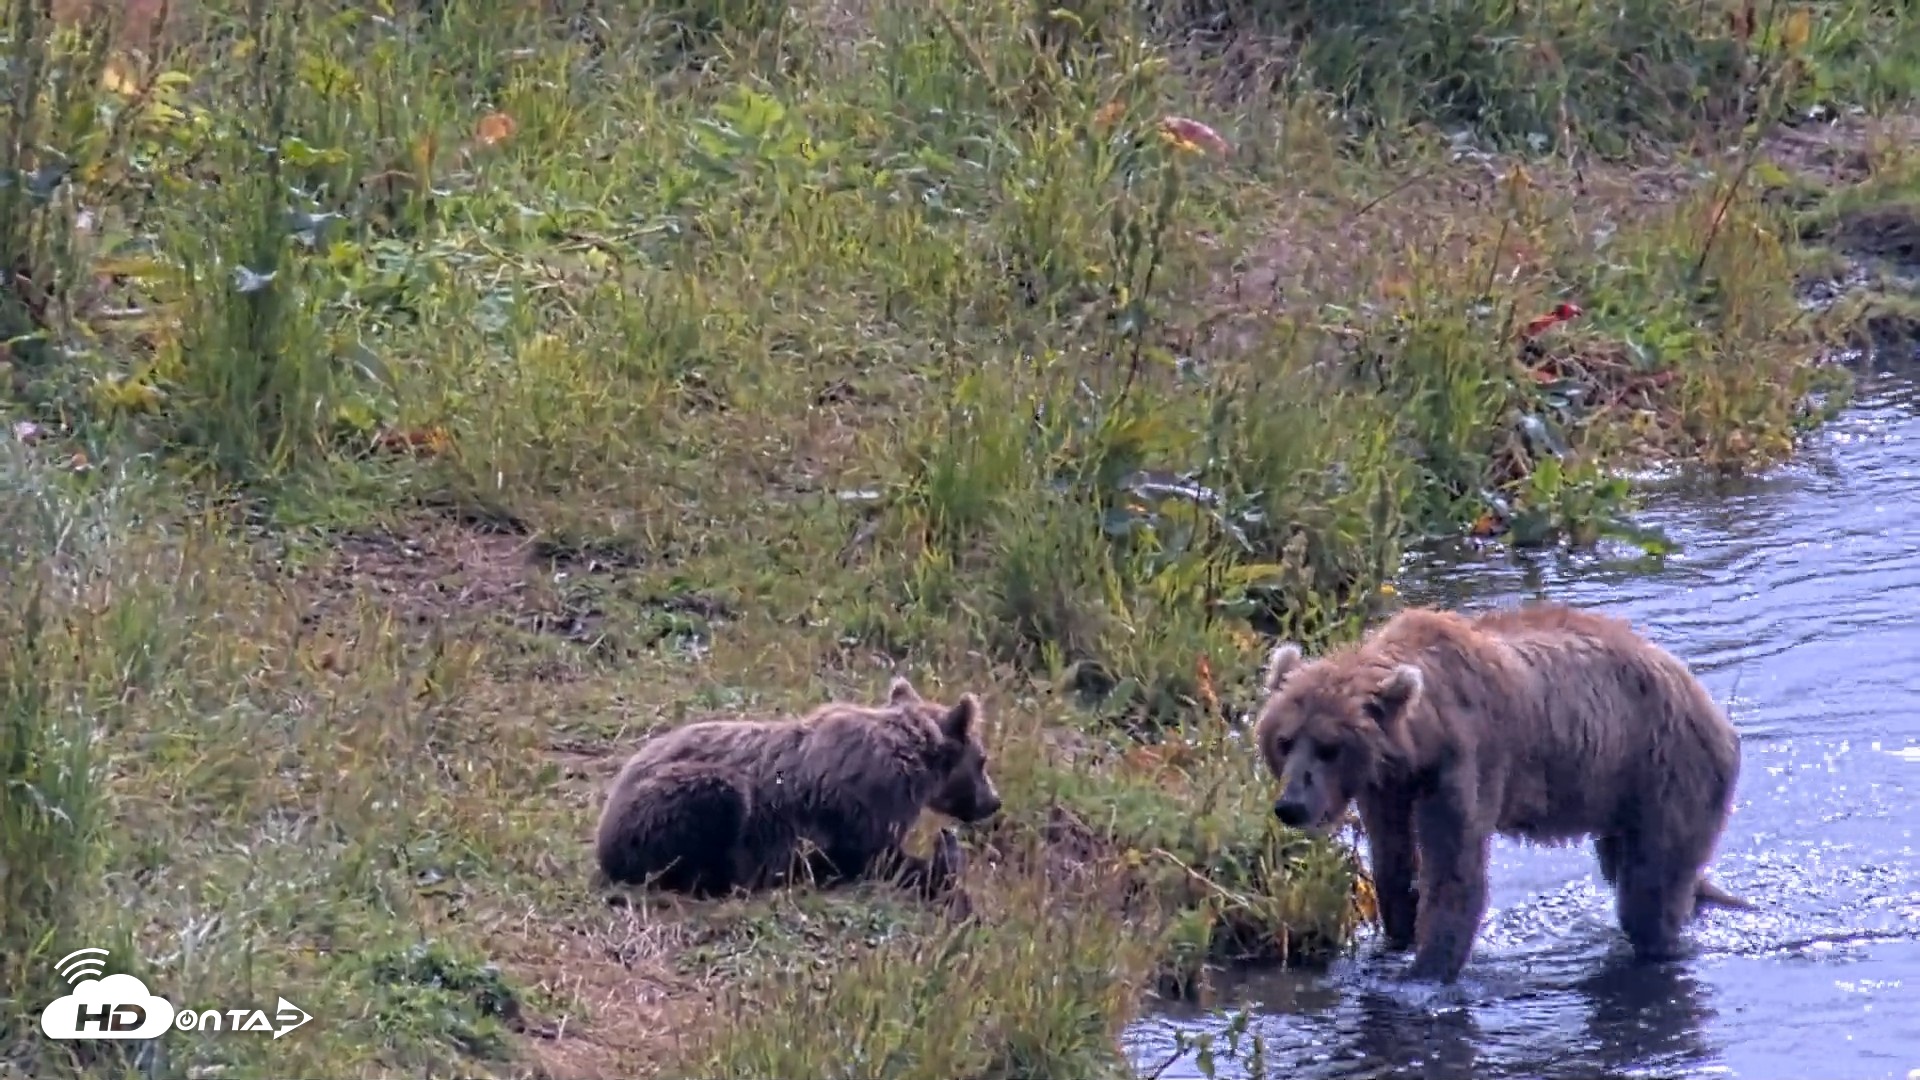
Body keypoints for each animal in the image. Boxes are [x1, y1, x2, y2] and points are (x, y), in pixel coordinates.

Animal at [593, 676, 1002, 905]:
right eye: (983, 759)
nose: (994, 802)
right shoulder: (866, 804)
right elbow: (873, 857)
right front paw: (942, 867)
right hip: (666, 802)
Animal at [1252, 601, 1753, 984]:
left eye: (1329, 747)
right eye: (1285, 741)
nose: (1291, 805)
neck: (1421, 740)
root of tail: (1712, 708)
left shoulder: (1466, 761)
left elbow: (1456, 872)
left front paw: (1423, 973)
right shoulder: (1387, 787)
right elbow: (1393, 864)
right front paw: (1395, 937)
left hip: (1667, 768)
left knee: (1649, 885)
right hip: (1622, 794)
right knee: (1635, 867)